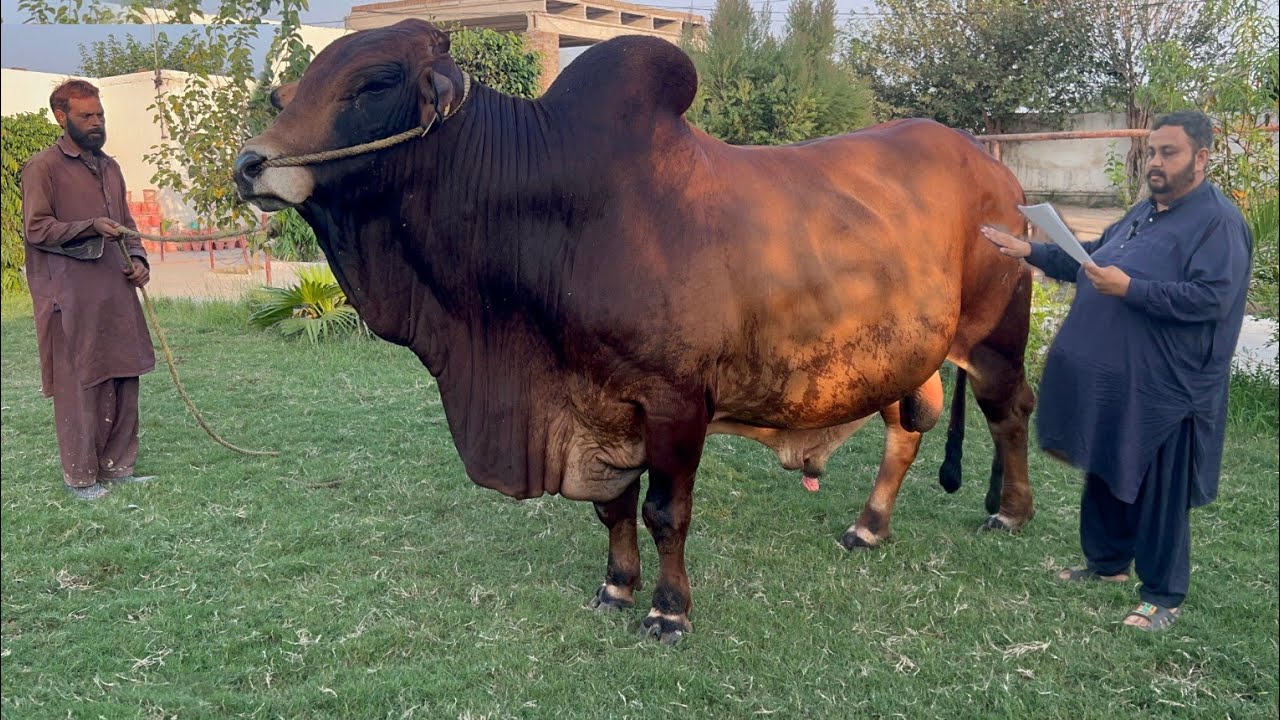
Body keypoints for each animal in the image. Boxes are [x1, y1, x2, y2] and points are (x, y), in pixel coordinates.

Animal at [234, 19, 1036, 643]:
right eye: (283, 95)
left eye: (374, 84)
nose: (249, 164)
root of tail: (994, 168)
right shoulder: (597, 406)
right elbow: (612, 506)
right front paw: (616, 587)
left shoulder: (676, 404)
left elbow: (664, 512)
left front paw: (668, 611)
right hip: (904, 356)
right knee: (907, 427)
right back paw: (869, 525)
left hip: (994, 338)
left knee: (1010, 410)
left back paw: (1011, 514)